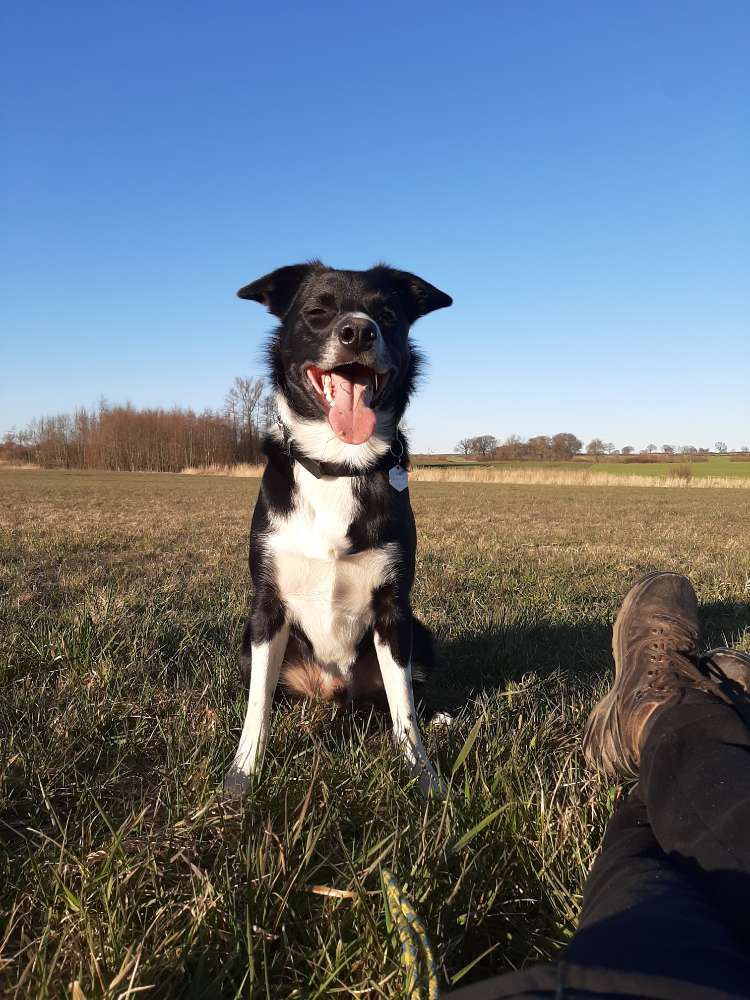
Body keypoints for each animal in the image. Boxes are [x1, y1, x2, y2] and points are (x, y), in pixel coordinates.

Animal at [225, 264, 452, 796]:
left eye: (387, 313)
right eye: (317, 311)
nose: (358, 332)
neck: (338, 464)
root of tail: (334, 691)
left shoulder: (394, 608)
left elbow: (405, 712)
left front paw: (424, 776)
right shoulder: (267, 606)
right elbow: (257, 706)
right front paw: (244, 773)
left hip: (419, 634)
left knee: (399, 698)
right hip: (248, 641)